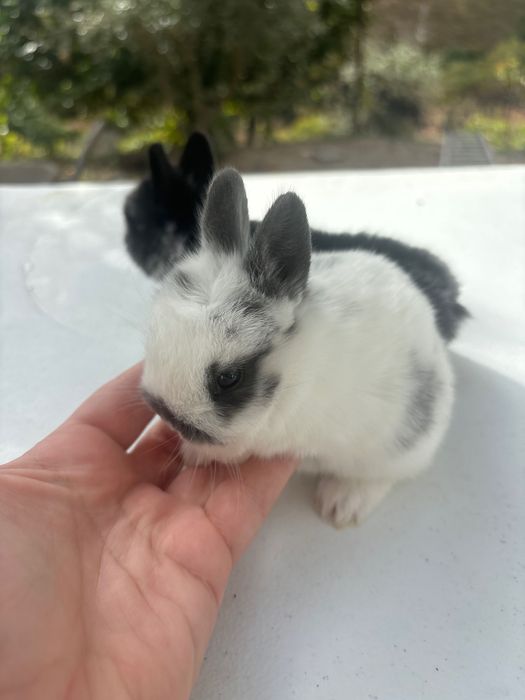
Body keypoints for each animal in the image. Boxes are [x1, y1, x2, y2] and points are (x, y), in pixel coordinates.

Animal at [141, 168, 457, 528]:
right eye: (154, 331)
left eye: (229, 378)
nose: (166, 412)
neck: (295, 369)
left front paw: (194, 453)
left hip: (397, 449)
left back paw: (340, 504)